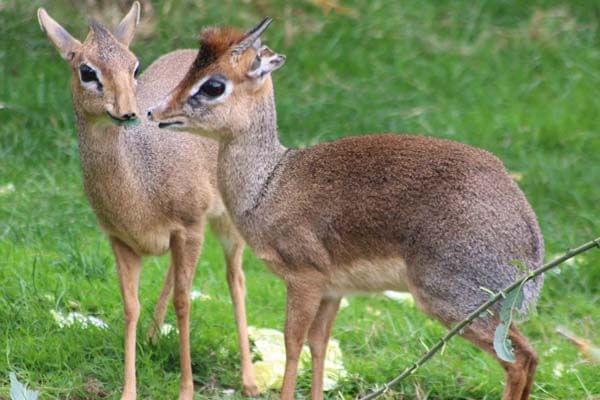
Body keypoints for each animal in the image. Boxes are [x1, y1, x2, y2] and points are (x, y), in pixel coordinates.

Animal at [37, 3, 258, 400]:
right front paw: (129, 390)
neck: (140, 191)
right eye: (86, 70)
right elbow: (130, 306)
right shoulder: (121, 239)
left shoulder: (189, 226)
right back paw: (153, 338)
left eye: (134, 65)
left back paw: (249, 379)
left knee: (237, 279)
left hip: (227, 220)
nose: (128, 111)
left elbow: (185, 303)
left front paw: (186, 389)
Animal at [149, 18, 544, 400]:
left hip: (453, 299)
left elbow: (293, 343)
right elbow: (319, 344)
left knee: (518, 360)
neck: (269, 185)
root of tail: (531, 238)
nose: (155, 111)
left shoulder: (304, 278)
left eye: (214, 85)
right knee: (531, 354)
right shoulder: (333, 289)